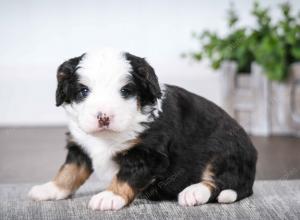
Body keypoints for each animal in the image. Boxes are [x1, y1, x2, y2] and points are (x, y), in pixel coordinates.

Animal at [28, 48, 258, 211]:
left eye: (125, 91)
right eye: (83, 91)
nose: (104, 117)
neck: (107, 137)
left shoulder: (148, 154)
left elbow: (125, 176)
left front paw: (109, 196)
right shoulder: (80, 147)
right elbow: (68, 171)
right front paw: (50, 189)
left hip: (225, 150)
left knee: (221, 180)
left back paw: (194, 192)